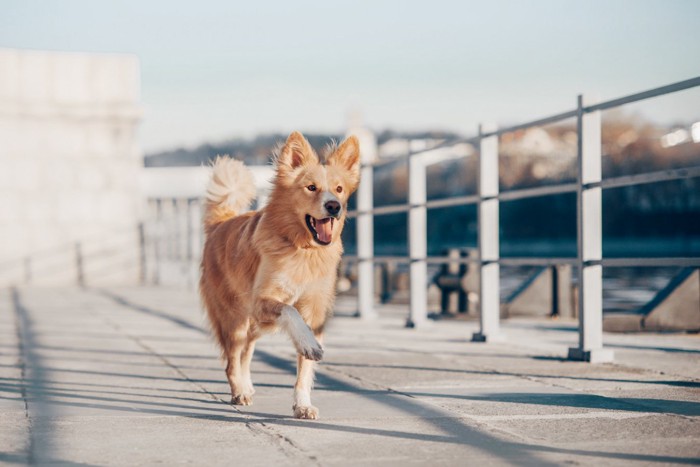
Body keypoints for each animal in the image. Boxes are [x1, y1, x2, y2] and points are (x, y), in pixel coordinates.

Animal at [198, 131, 358, 420]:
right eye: (311, 188)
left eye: (339, 189)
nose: (334, 206)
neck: (303, 249)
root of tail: (219, 224)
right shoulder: (263, 301)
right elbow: (290, 312)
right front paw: (308, 344)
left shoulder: (315, 311)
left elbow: (305, 370)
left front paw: (302, 404)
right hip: (236, 318)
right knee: (232, 360)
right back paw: (239, 391)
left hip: (253, 325)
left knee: (245, 353)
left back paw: (247, 385)